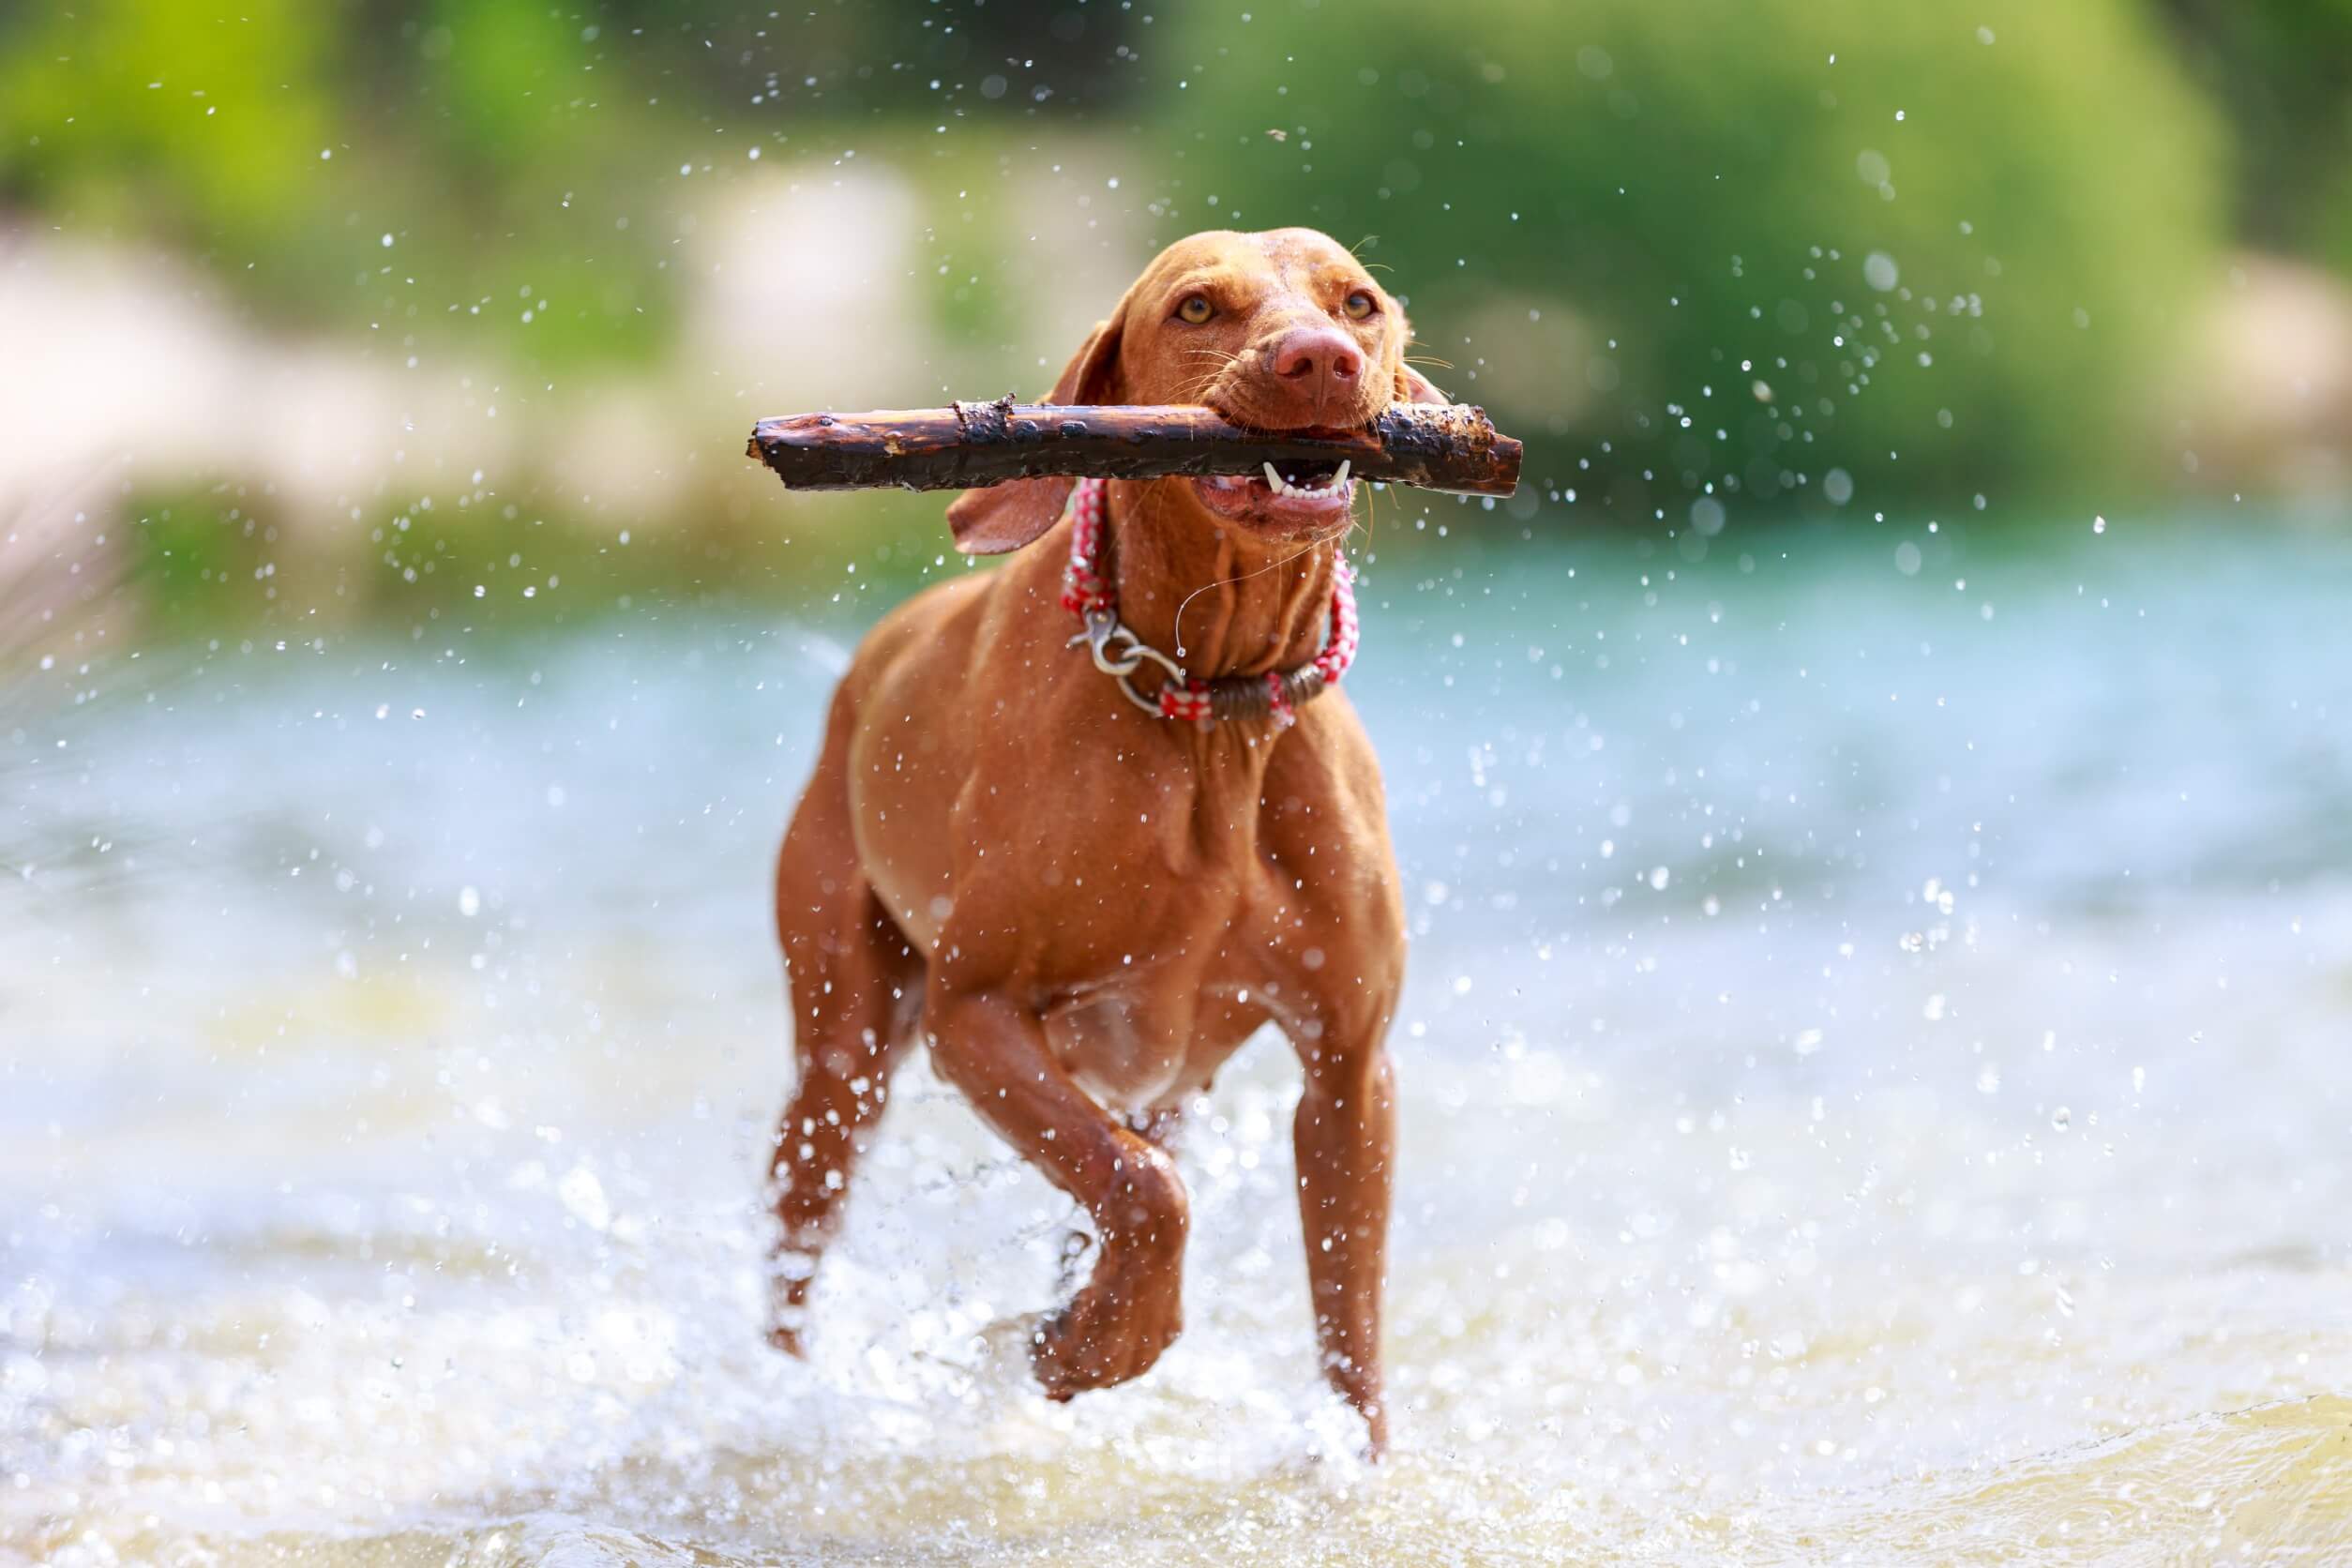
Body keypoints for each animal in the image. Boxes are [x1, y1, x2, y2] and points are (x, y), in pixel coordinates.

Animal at [761, 226, 1439, 1457]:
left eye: (1357, 303)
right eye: (1198, 307)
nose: (1318, 360)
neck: (1212, 707)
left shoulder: (1348, 1066)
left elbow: (1349, 1322)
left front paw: (1351, 1466)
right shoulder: (974, 1013)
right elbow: (1149, 1194)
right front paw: (1103, 1343)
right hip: (846, 1054)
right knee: (799, 1238)